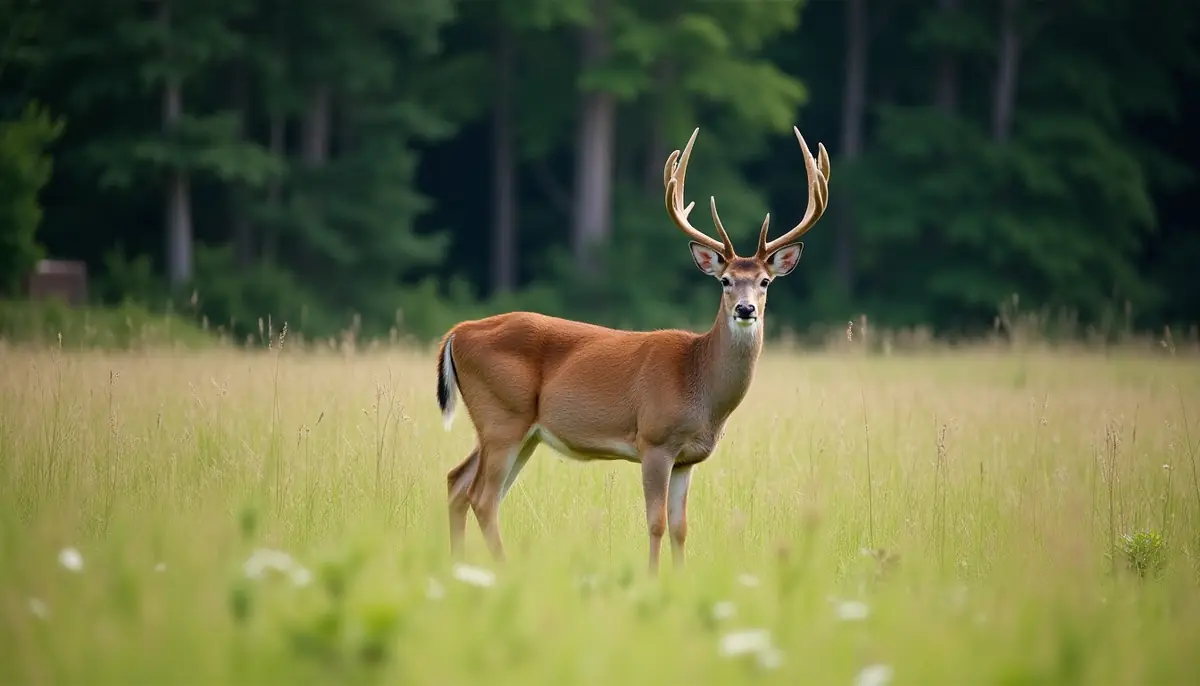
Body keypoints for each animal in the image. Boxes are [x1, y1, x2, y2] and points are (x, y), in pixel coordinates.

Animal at [435, 126, 830, 573]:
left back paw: (460, 565)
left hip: (515, 430)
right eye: (725, 280)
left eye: (764, 281)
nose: (745, 309)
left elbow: (680, 527)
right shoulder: (654, 441)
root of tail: (458, 332)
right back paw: (502, 568)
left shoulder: (688, 458)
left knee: (457, 481)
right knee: (482, 497)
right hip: (503, 417)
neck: (698, 381)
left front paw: (679, 577)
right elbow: (655, 522)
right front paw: (654, 578)